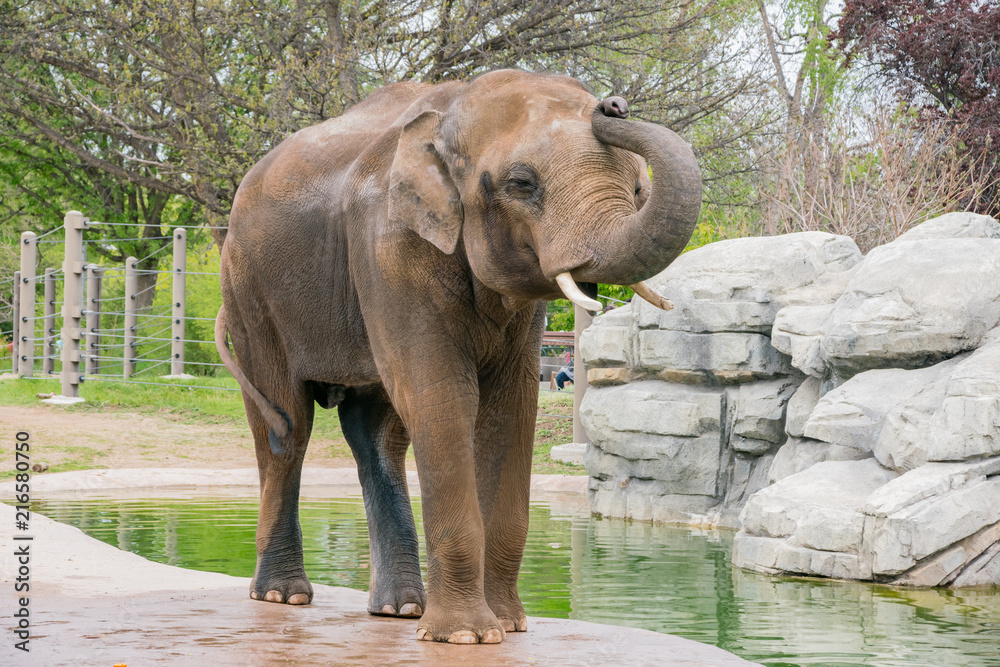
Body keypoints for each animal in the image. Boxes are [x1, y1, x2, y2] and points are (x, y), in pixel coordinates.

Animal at [215, 69, 701, 644]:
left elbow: (510, 407)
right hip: (248, 290)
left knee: (378, 435)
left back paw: (401, 610)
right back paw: (283, 597)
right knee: (287, 426)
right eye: (521, 184)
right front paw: (467, 636)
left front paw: (509, 626)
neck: (451, 112)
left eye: (638, 189)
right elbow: (443, 397)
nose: (614, 105)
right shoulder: (390, 247)